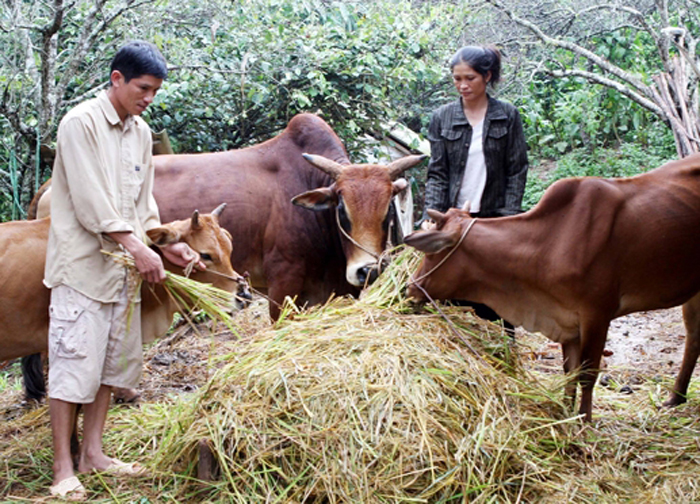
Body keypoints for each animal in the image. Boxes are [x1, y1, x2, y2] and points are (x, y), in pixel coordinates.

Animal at [402, 154, 700, 422]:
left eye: (431, 253)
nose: (409, 288)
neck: (551, 241)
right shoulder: (566, 320)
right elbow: (569, 372)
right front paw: (565, 413)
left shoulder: (597, 314)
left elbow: (587, 374)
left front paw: (583, 422)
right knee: (694, 338)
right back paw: (675, 398)